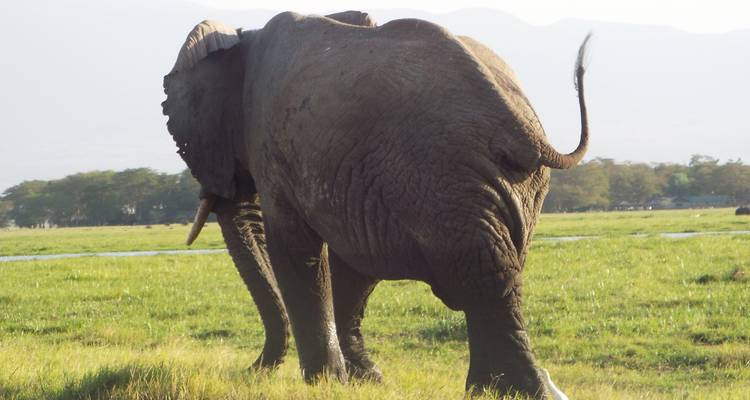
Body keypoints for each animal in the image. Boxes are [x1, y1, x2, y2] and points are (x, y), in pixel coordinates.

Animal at [162, 10, 591, 398]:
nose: (250, 370)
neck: (242, 39)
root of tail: (524, 130)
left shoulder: (271, 145)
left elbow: (297, 253)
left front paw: (324, 383)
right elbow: (353, 265)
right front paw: (364, 380)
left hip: (444, 176)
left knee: (484, 272)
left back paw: (513, 390)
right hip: (508, 185)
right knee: (500, 271)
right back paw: (497, 389)